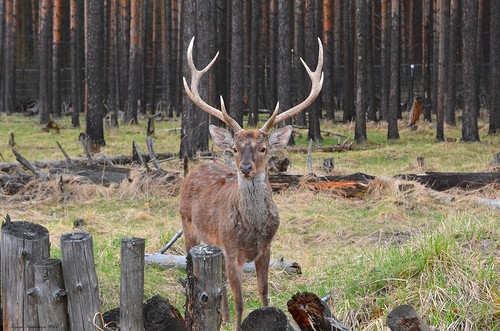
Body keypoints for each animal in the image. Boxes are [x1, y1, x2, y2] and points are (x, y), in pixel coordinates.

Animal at [180, 37, 324, 331]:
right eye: (235, 148)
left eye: (263, 148)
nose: (245, 168)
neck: (253, 230)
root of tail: (192, 171)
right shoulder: (230, 248)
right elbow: (240, 300)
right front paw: (235, 323)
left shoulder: (266, 248)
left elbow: (263, 292)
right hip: (189, 227)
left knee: (219, 283)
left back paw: (221, 317)